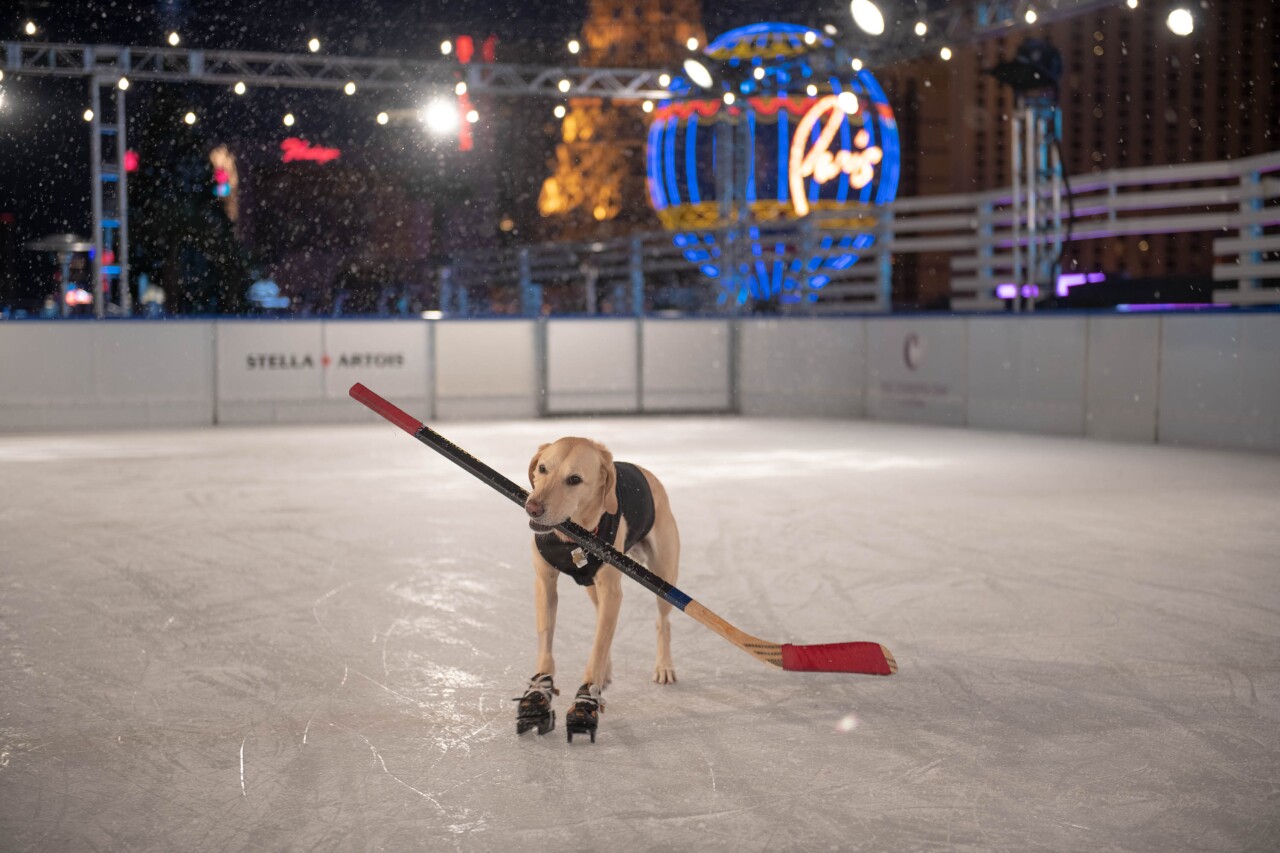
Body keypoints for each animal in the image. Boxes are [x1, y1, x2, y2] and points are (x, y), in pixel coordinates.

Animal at [514, 438, 686, 737]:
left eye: (575, 479)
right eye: (542, 468)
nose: (532, 507)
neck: (573, 537)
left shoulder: (612, 592)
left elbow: (596, 649)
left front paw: (586, 700)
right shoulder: (545, 584)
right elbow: (547, 642)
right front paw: (538, 693)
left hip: (664, 578)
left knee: (661, 623)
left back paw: (664, 665)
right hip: (592, 588)